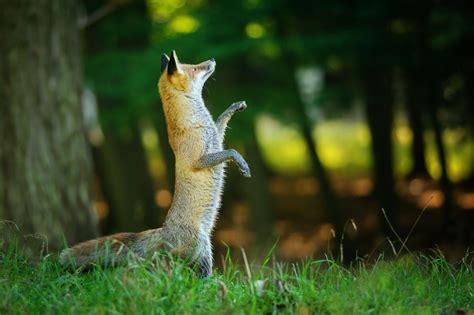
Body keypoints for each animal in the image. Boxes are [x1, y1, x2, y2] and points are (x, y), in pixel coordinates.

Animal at [60, 50, 248, 278]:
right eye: (194, 68)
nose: (211, 60)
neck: (195, 122)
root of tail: (163, 231)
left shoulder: (216, 141)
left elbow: (222, 123)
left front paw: (235, 107)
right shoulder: (199, 159)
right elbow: (231, 152)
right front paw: (242, 163)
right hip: (204, 248)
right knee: (196, 275)